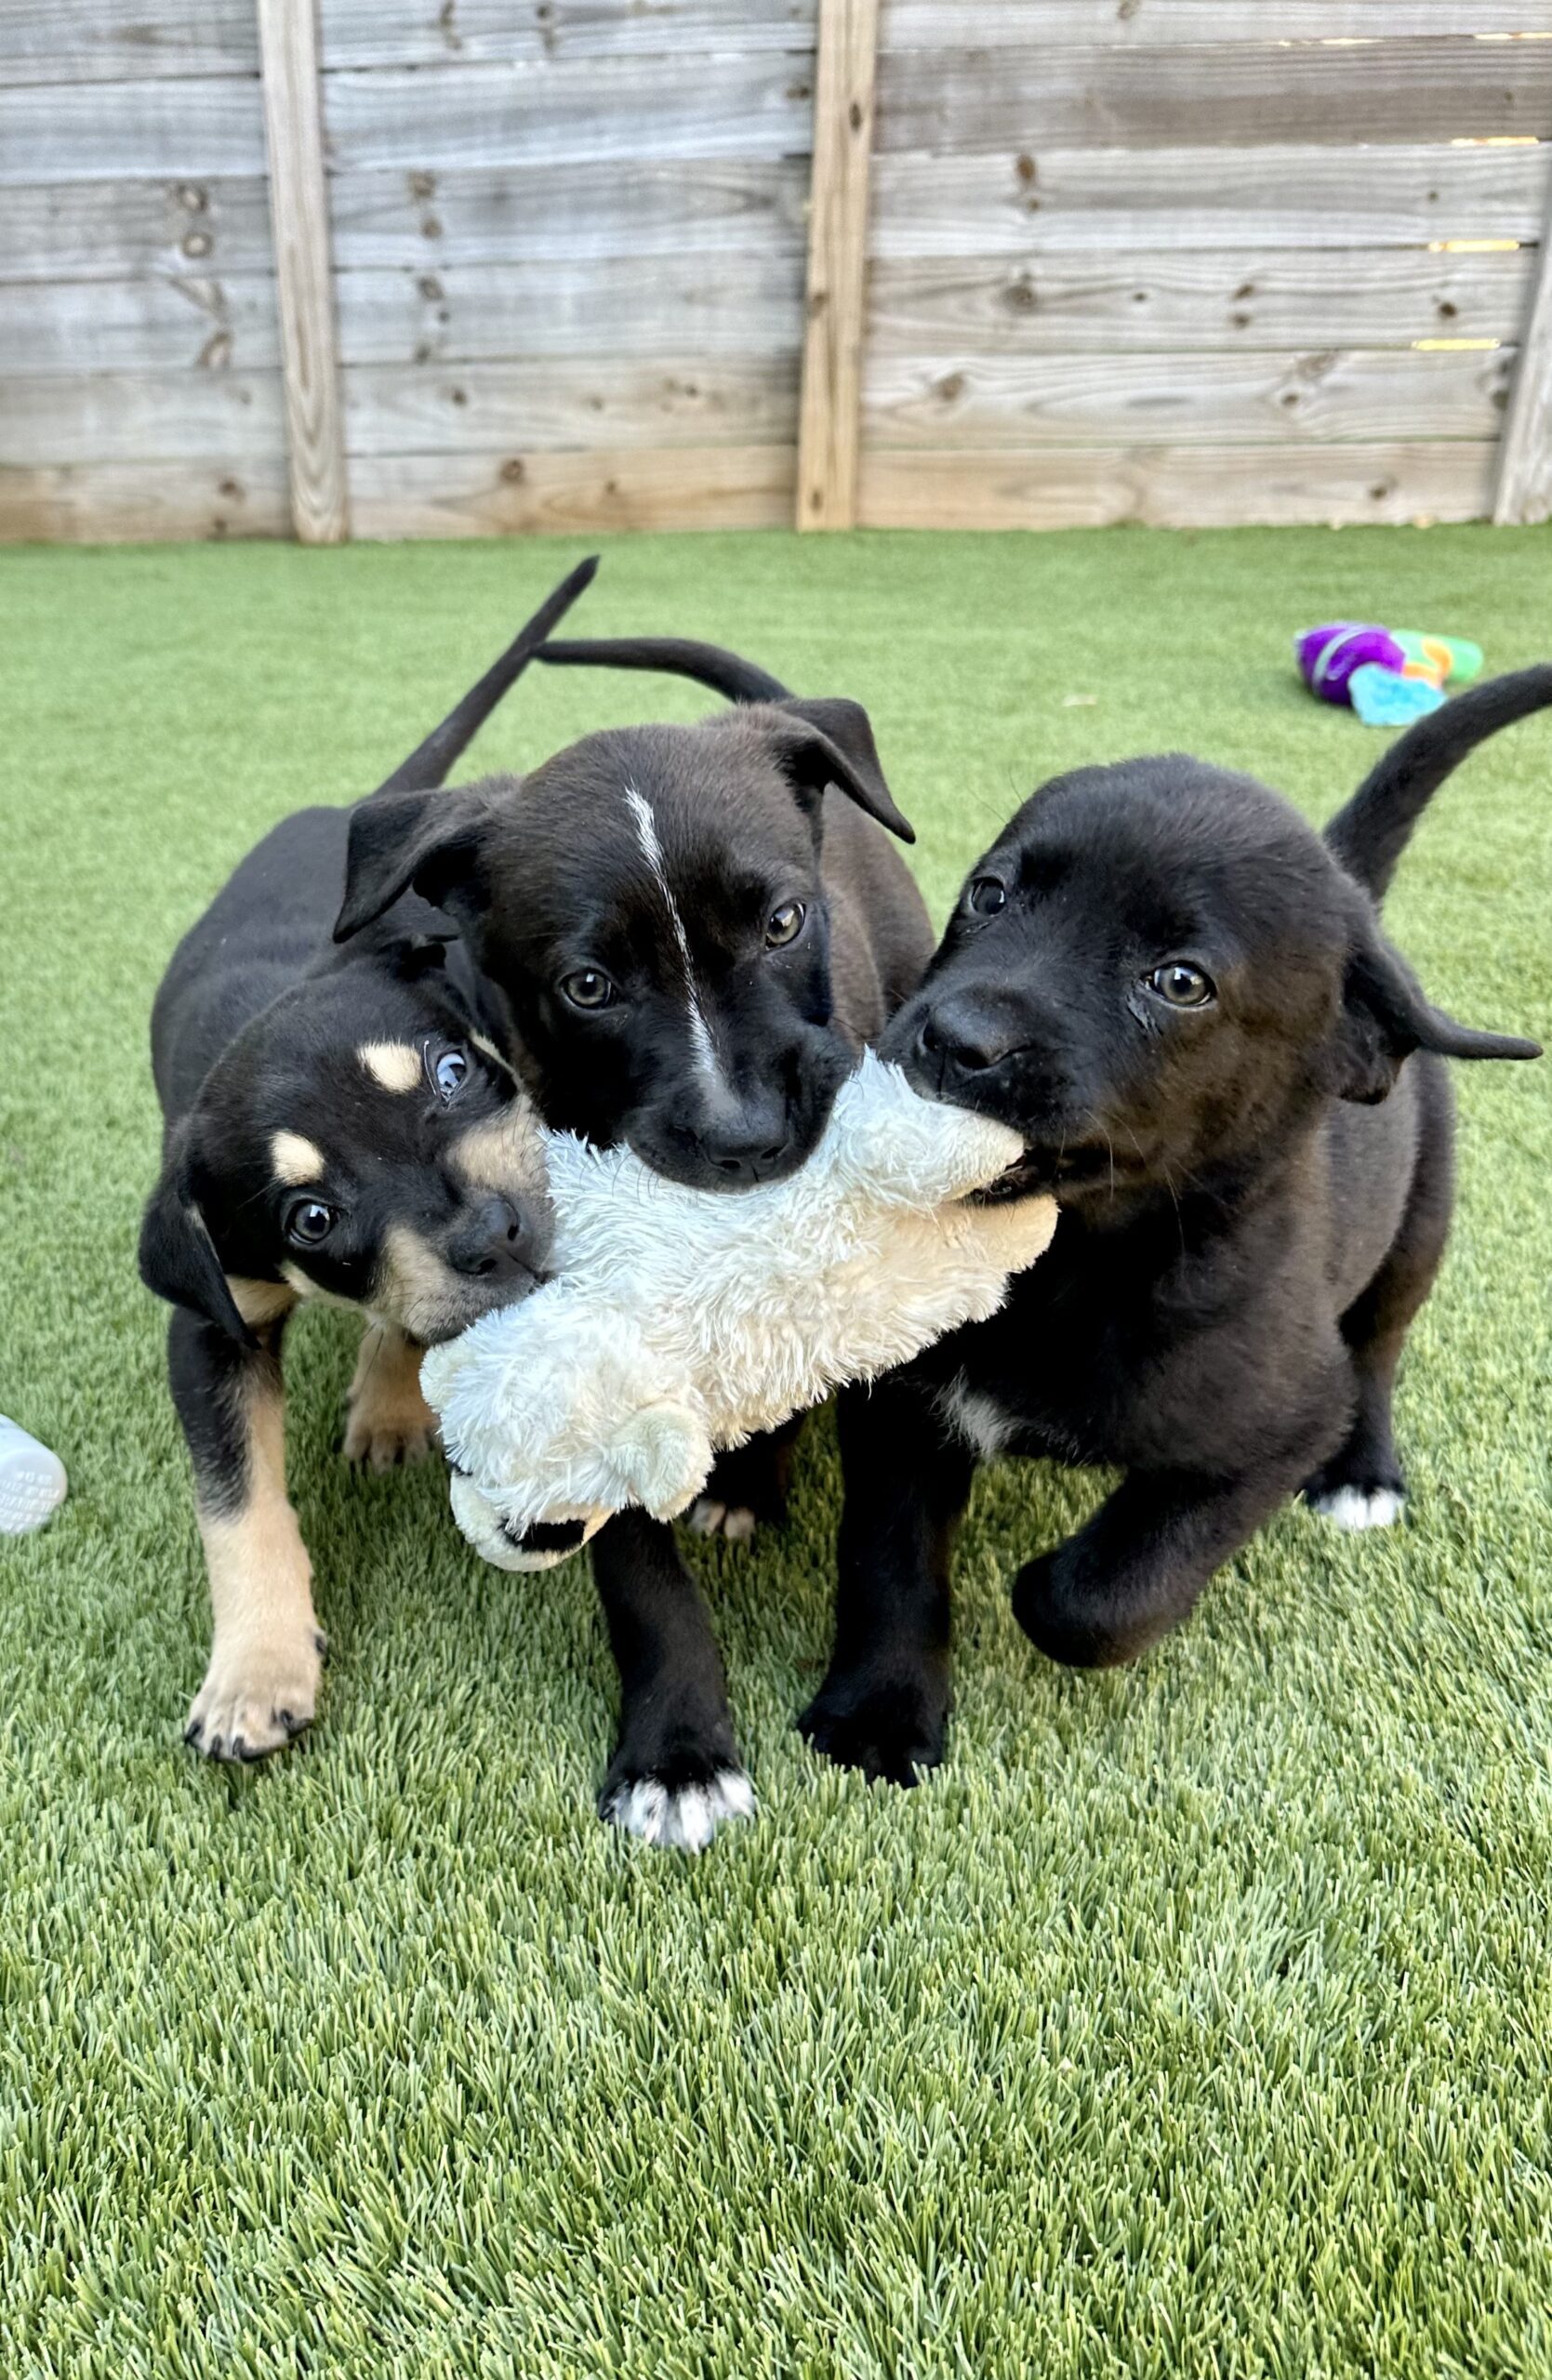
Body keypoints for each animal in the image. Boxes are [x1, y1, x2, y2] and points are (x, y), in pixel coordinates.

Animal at [139, 551, 594, 1752]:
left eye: (452, 1072)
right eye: (312, 1218)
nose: (497, 1235)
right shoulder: (211, 1320)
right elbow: (236, 1502)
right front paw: (252, 1674)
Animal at [330, 628, 928, 1837]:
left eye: (782, 923)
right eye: (589, 985)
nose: (745, 1138)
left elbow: (888, 1521)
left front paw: (882, 1706)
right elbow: (642, 1584)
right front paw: (678, 1755)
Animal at [800, 670, 1552, 1790]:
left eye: (1179, 981)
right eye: (989, 895)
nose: (954, 1040)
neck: (1058, 1268)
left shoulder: (1275, 1427)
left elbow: (1103, 1594)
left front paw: (1036, 1586)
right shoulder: (902, 1403)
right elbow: (889, 1562)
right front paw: (878, 1715)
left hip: (1418, 1229)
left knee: (1377, 1349)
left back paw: (1364, 1476)